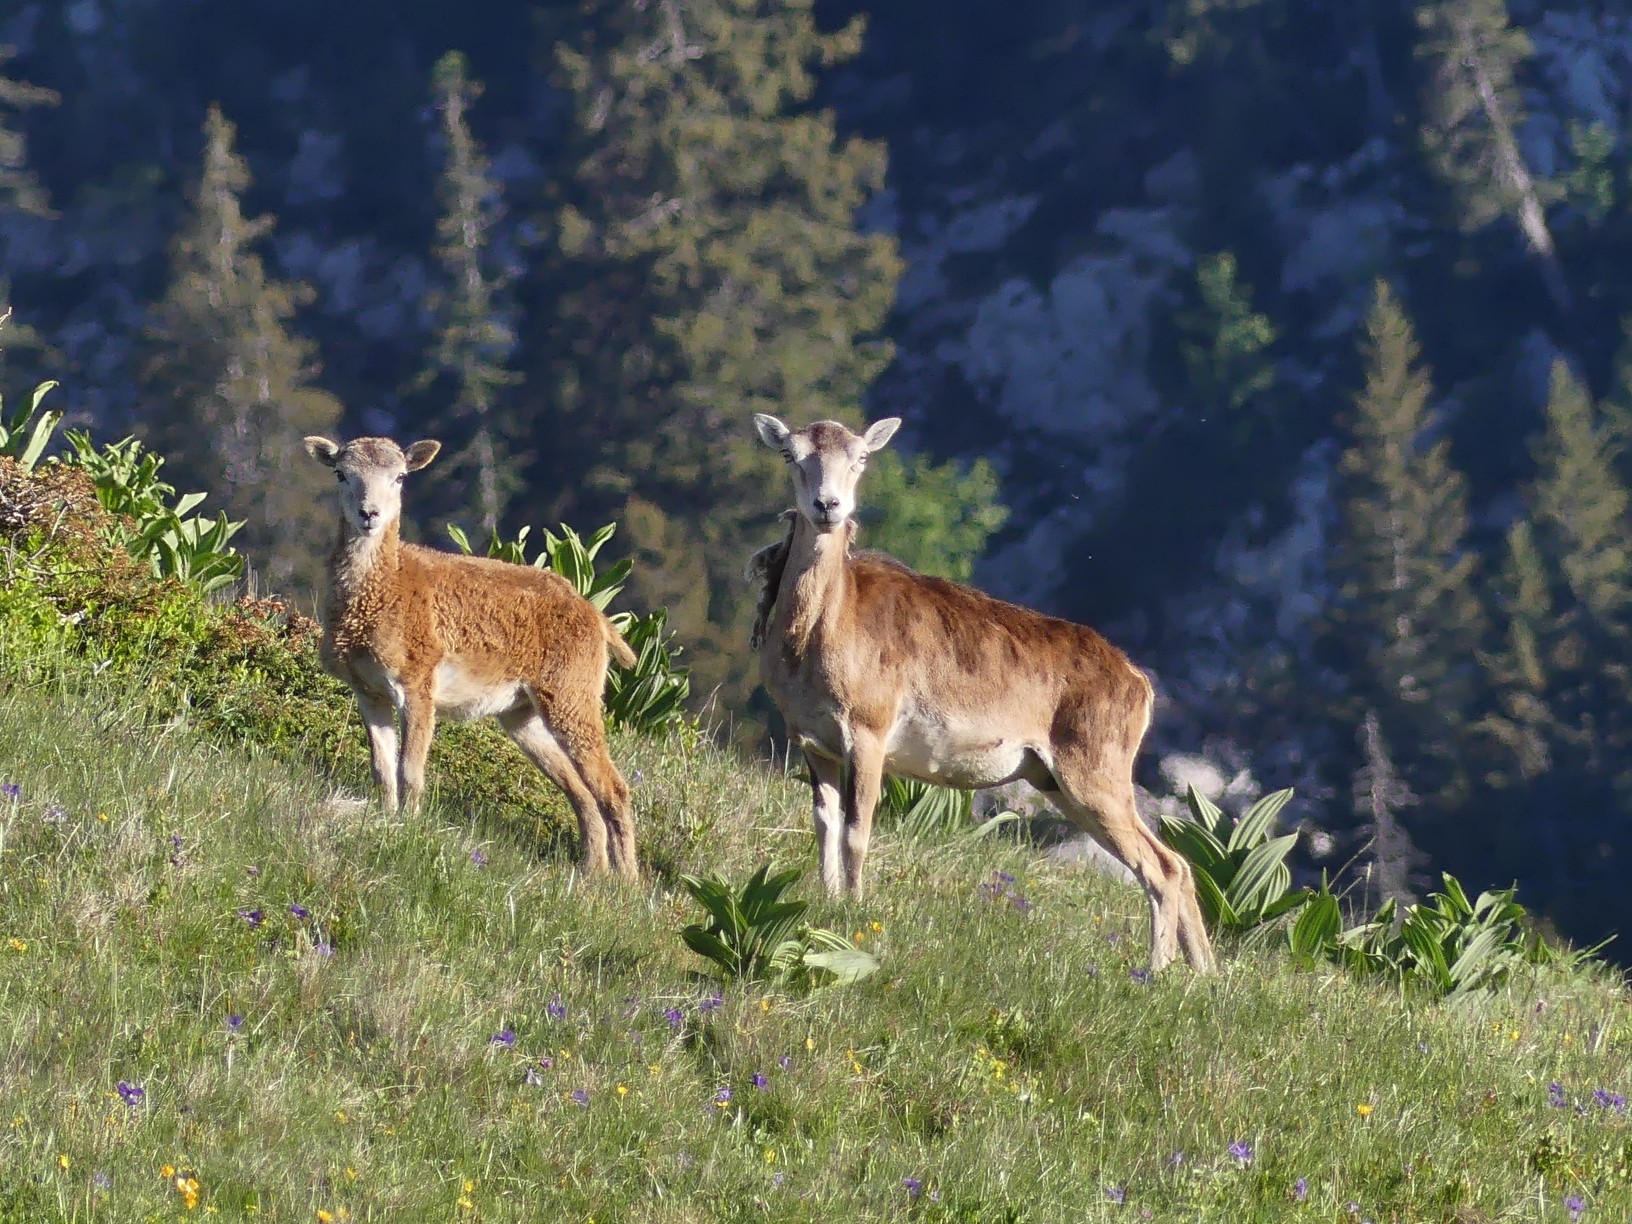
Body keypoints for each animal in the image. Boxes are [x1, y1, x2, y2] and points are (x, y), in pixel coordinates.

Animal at [303, 437, 639, 874]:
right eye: (341, 473)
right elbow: (382, 769)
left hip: (572, 695)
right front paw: (385, 820)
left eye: (400, 476)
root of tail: (598, 619)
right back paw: (591, 874)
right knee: (581, 791)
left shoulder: (418, 682)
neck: (386, 590)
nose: (369, 514)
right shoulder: (368, 690)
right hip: (521, 716)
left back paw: (625, 881)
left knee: (614, 787)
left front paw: (409, 829)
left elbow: (410, 770)